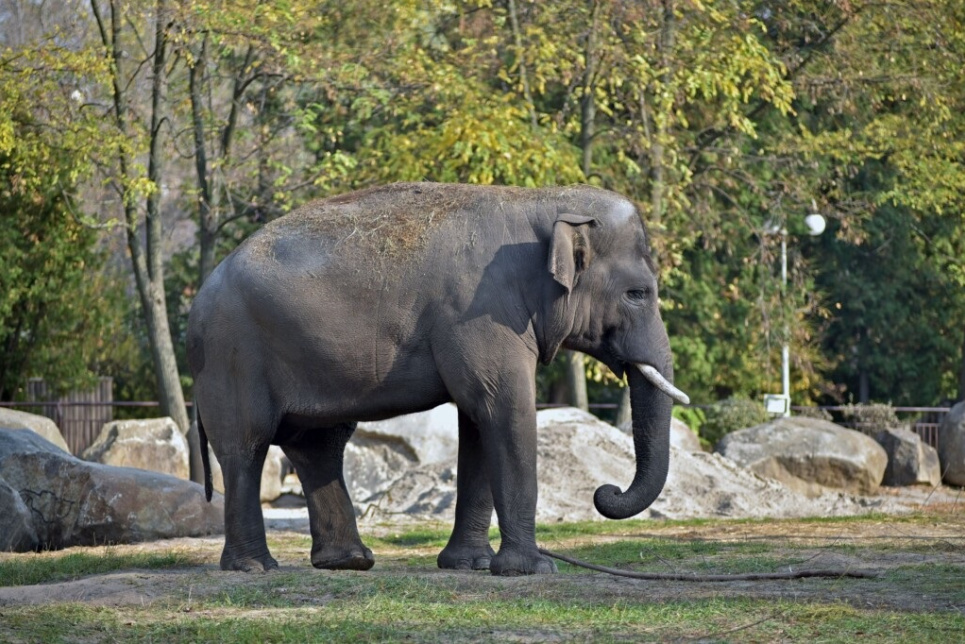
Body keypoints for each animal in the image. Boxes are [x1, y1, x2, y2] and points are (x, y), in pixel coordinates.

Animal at [186, 181, 684, 572]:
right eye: (639, 294)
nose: (606, 491)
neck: (541, 201)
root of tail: (200, 294)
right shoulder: (482, 314)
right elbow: (504, 409)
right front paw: (531, 569)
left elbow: (479, 422)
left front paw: (471, 565)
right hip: (233, 355)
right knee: (247, 447)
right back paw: (255, 567)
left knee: (318, 445)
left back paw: (350, 561)